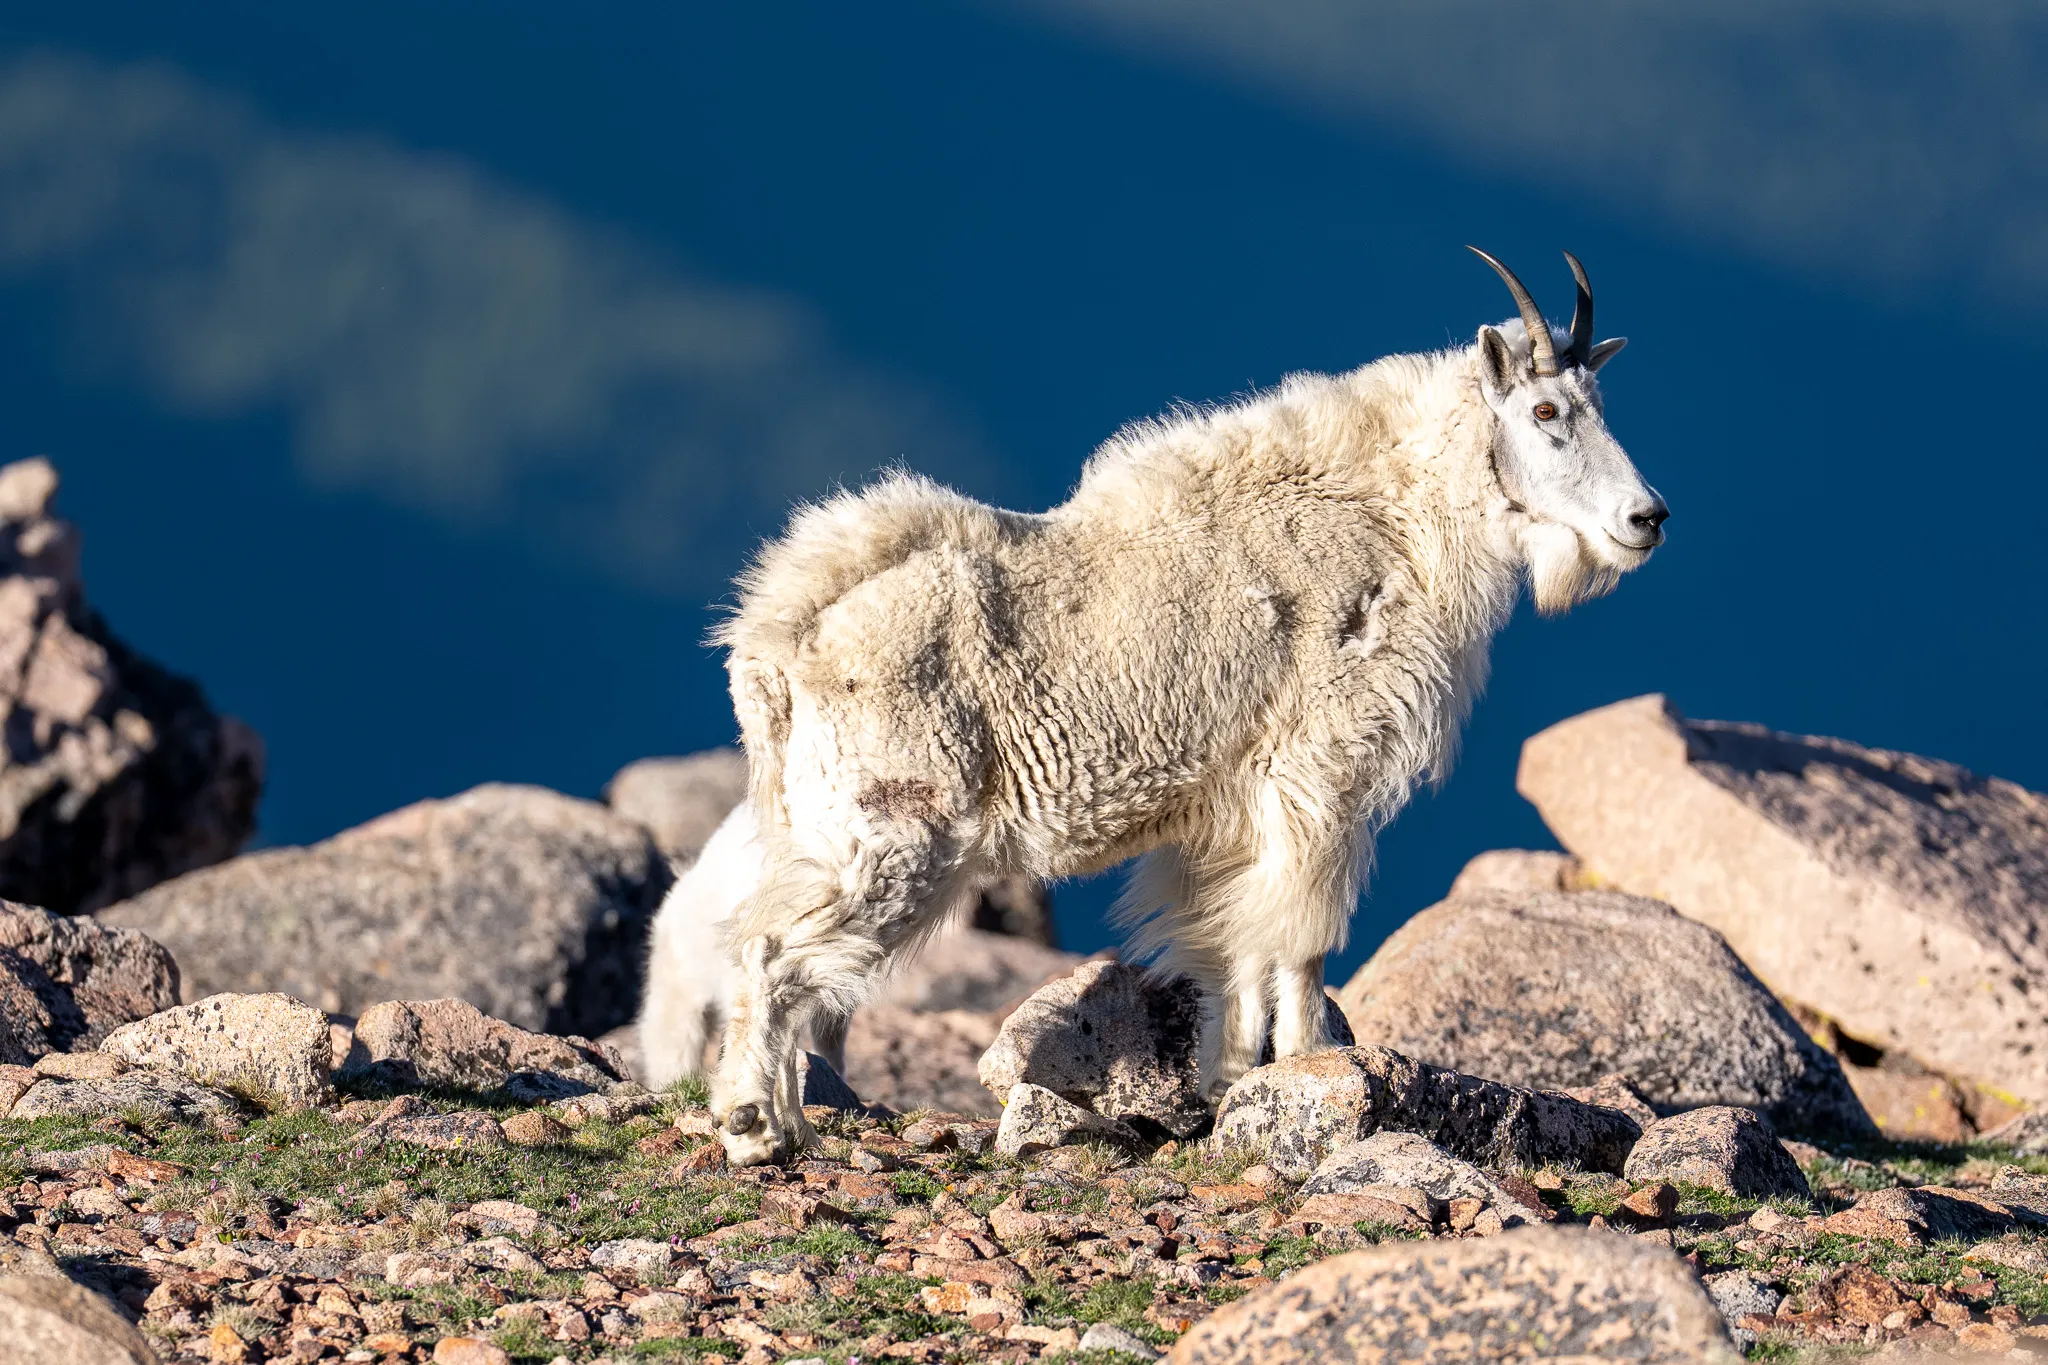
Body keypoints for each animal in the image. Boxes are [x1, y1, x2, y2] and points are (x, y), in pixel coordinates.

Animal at [701, 250, 1667, 1164]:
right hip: (893, 829)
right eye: (1547, 411)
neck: (1397, 517)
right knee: (771, 952)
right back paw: (755, 1129)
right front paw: (1314, 1066)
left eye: (1598, 403)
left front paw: (1231, 1081)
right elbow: (1303, 935)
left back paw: (790, 1124)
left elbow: (1231, 941)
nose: (1647, 518)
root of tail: (774, 641)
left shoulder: (1235, 807)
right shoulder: (1323, 771)